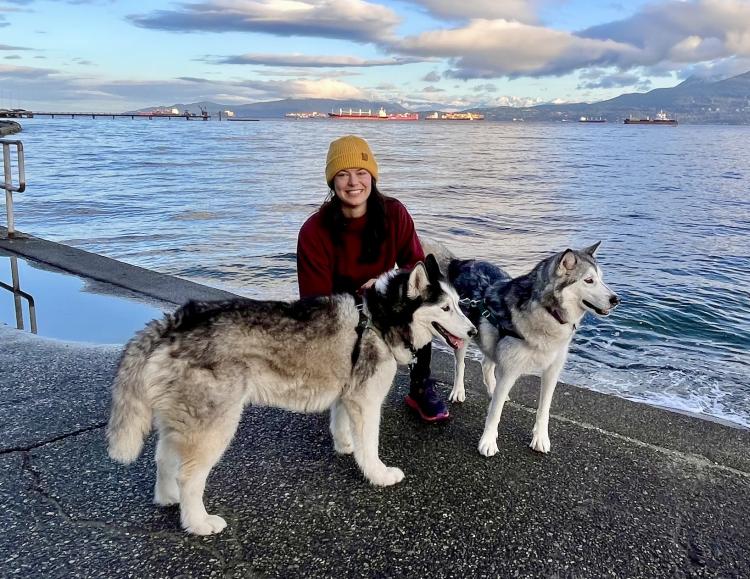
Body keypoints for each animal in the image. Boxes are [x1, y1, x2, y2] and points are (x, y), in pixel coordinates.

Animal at [106, 256, 476, 536]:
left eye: (458, 305)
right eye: (445, 308)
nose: (473, 330)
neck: (379, 318)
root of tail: (174, 321)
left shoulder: (347, 393)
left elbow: (342, 425)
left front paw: (347, 447)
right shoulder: (366, 399)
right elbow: (370, 444)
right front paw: (377, 474)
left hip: (185, 419)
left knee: (164, 458)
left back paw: (168, 498)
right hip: (216, 423)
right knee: (188, 476)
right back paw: (197, 522)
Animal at [444, 241, 620, 458]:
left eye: (601, 278)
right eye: (589, 280)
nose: (616, 299)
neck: (548, 312)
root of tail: (463, 262)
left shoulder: (552, 372)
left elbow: (544, 410)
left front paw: (540, 439)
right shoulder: (509, 370)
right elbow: (495, 413)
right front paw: (488, 441)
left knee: (486, 364)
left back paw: (493, 389)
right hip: (462, 335)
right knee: (460, 365)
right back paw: (458, 391)